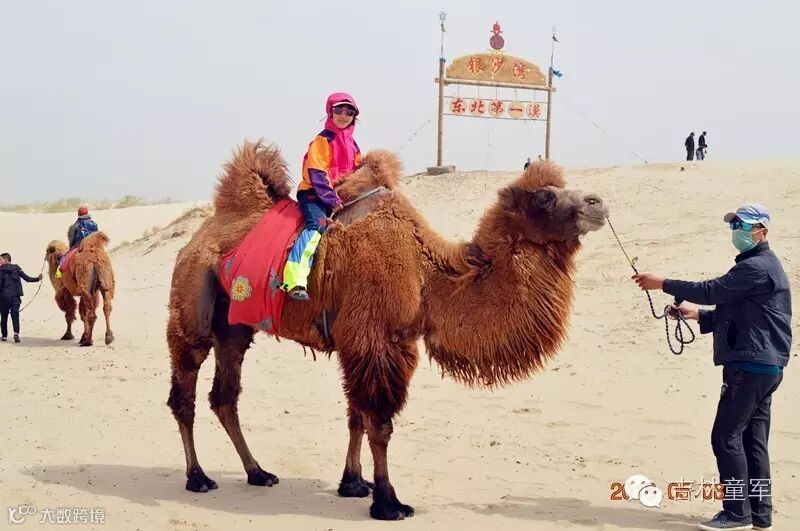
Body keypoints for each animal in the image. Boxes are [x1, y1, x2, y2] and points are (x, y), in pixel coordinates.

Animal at [166, 140, 608, 520]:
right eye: (545, 197)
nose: (598, 202)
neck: (427, 273)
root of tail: (198, 236)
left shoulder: (364, 342)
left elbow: (356, 415)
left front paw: (353, 484)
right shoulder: (376, 338)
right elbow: (379, 422)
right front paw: (388, 501)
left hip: (234, 327)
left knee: (224, 397)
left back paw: (257, 472)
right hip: (191, 302)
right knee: (184, 391)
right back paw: (198, 477)